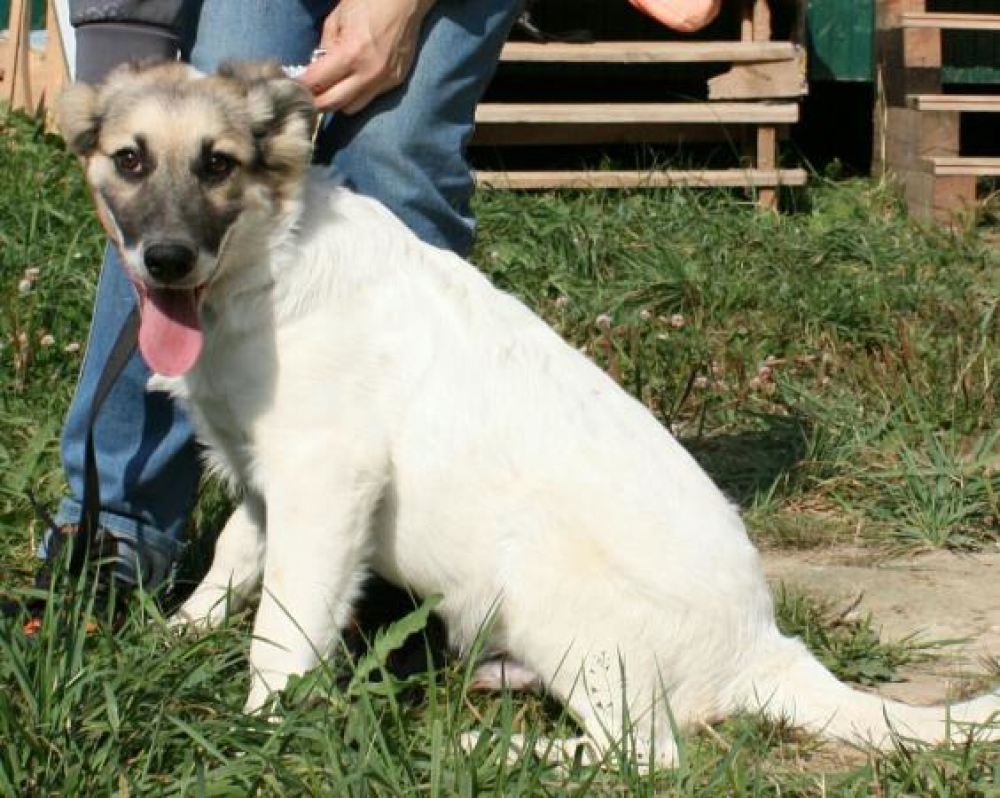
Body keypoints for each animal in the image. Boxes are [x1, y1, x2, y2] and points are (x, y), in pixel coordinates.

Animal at [58, 60, 1000, 767]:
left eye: (217, 164)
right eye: (131, 160)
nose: (167, 259)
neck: (267, 267)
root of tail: (763, 646)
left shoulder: (326, 479)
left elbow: (283, 630)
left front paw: (259, 727)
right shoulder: (266, 480)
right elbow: (231, 566)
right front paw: (170, 641)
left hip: (544, 579)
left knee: (647, 756)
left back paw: (493, 750)